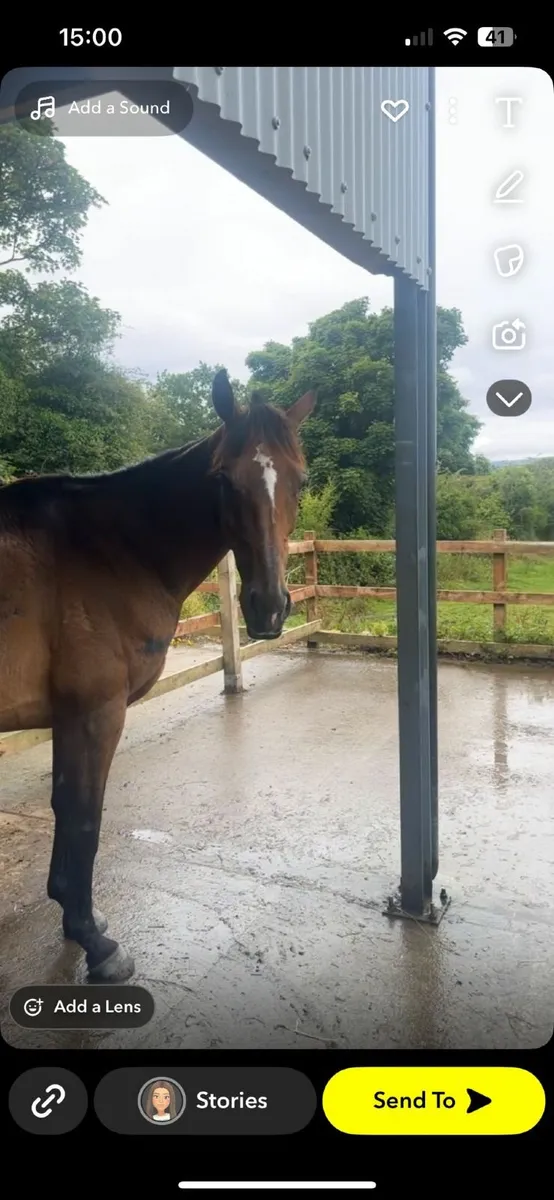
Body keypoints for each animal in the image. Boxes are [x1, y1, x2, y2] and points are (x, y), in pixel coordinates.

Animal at [0, 370, 316, 983]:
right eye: (223, 479)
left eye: (300, 479)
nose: (269, 609)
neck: (108, 551)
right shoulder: (94, 713)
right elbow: (82, 816)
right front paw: (95, 943)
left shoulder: (68, 717)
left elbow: (64, 807)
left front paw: (77, 916)